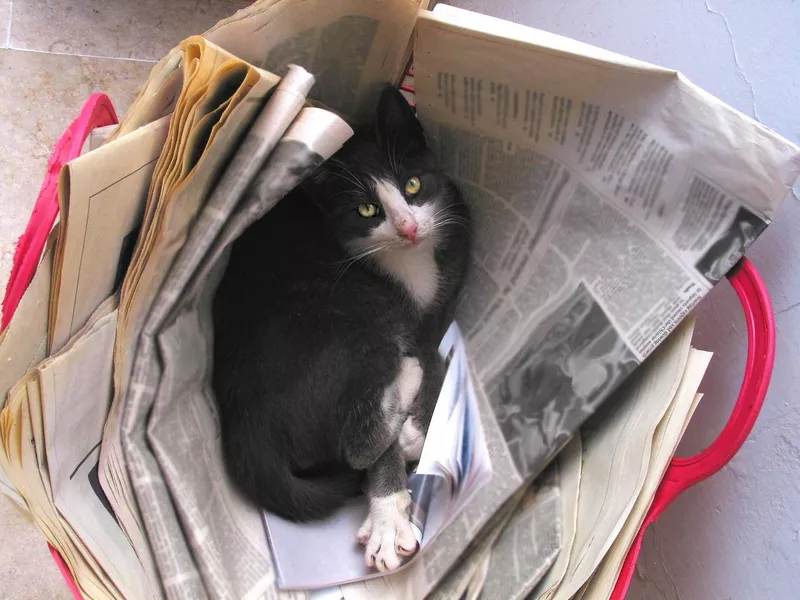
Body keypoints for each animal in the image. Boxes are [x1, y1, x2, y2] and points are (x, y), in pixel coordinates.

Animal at [212, 85, 472, 572]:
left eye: (413, 184)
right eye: (367, 209)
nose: (409, 228)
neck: (411, 263)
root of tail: (244, 428)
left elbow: (435, 335)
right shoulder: (400, 315)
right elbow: (428, 355)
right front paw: (391, 506)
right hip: (353, 315)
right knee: (359, 441)